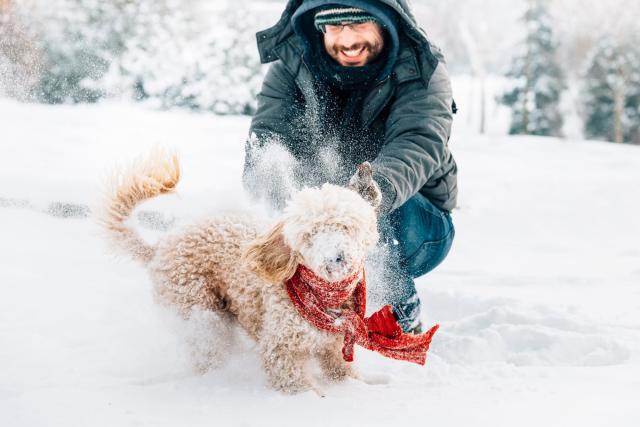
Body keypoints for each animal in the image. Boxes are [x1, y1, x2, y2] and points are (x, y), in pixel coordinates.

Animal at [99, 151, 380, 394]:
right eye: (309, 235)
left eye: (345, 226)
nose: (335, 257)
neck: (324, 296)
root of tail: (160, 246)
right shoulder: (281, 349)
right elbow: (294, 382)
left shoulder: (334, 346)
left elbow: (341, 371)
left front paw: (360, 386)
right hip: (200, 310)